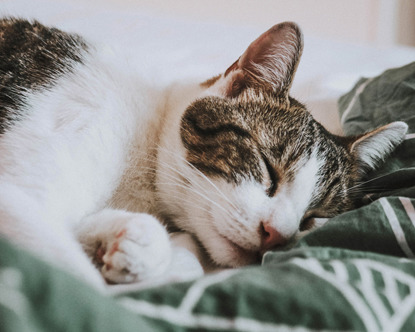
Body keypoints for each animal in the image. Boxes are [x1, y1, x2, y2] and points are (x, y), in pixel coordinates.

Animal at [0, 17, 410, 288]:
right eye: (267, 169)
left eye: (314, 218)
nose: (276, 236)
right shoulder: (18, 197)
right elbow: (75, 279)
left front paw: (133, 243)